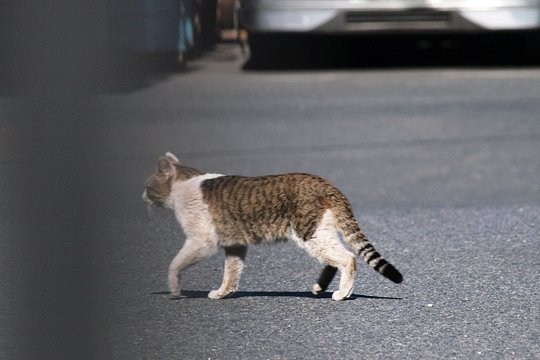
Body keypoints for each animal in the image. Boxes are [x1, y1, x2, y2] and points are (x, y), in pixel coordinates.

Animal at [141, 152, 402, 300]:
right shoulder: (235, 244)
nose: (141, 197)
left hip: (310, 233)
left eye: (147, 186)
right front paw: (224, 292)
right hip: (320, 232)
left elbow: (175, 264)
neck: (184, 184)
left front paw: (175, 288)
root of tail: (327, 185)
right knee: (334, 260)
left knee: (347, 258)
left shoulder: (201, 240)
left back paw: (342, 293)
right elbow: (231, 271)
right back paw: (321, 286)